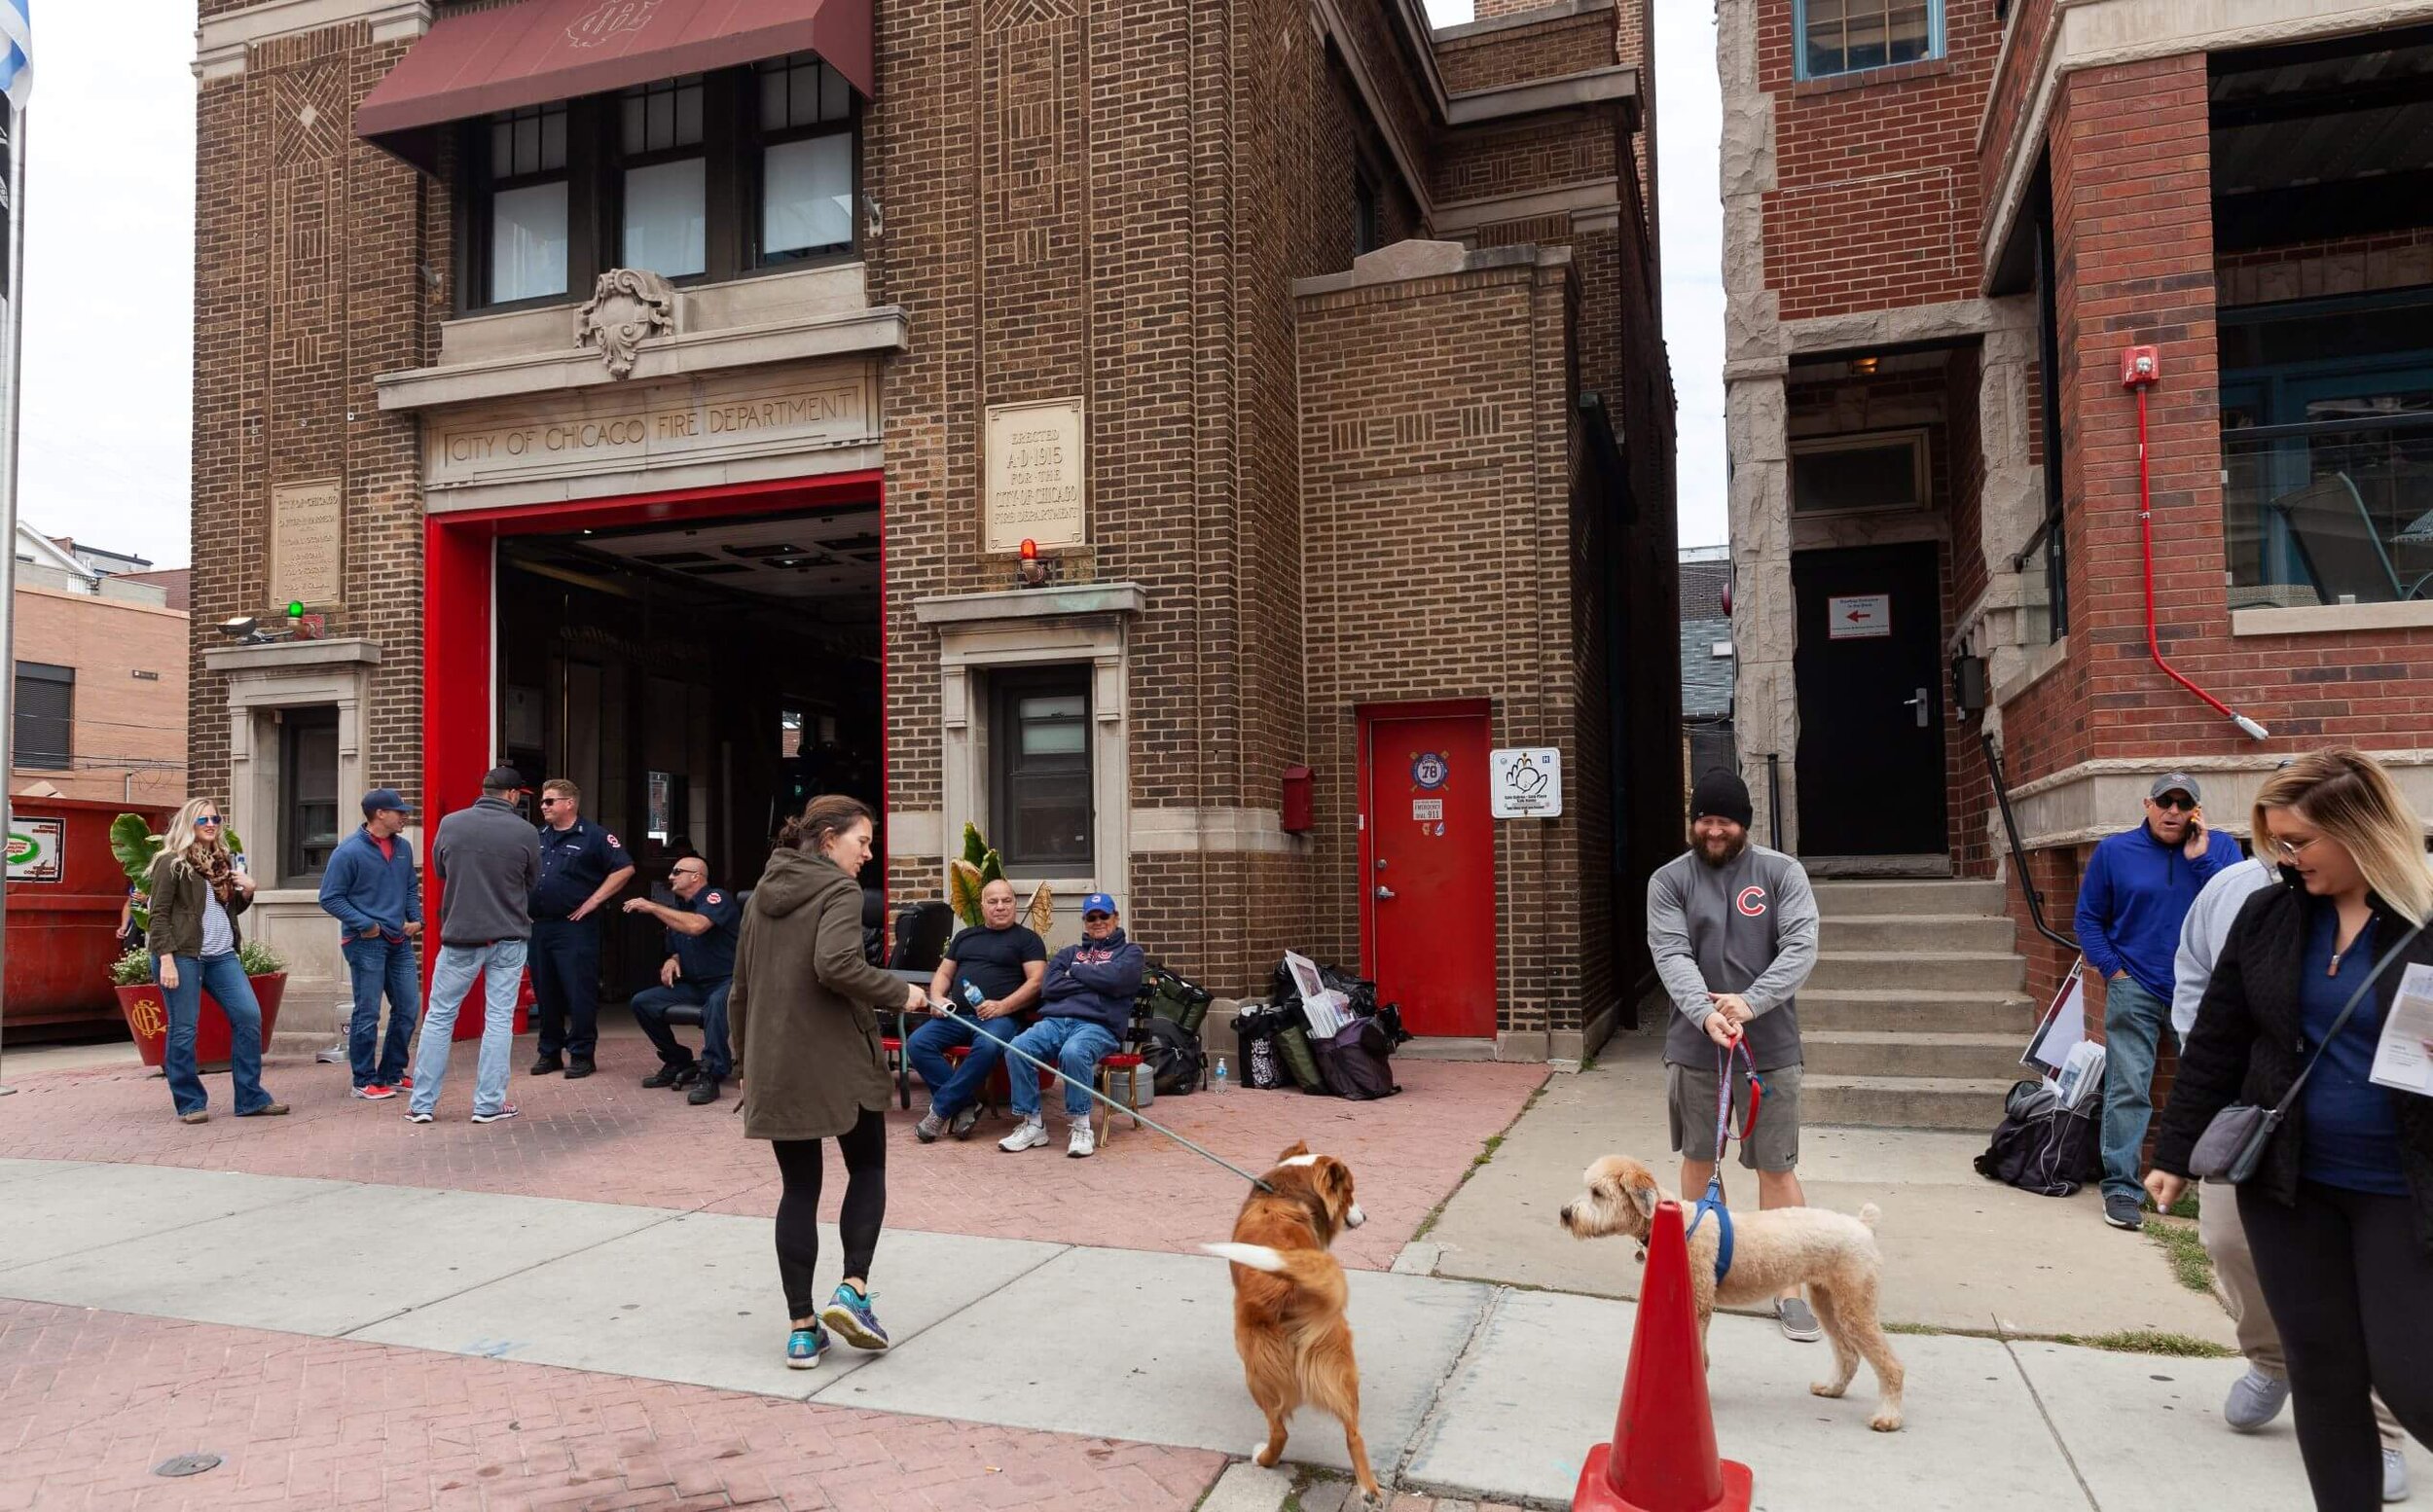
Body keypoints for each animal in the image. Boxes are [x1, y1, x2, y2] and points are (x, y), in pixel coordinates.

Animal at [1202, 1147, 1382, 1507]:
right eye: (1350, 1192)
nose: (1365, 1216)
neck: (1285, 1190)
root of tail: (1292, 1289)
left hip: (1255, 1369)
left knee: (1280, 1430)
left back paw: (1262, 1458)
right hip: (1338, 1361)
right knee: (1354, 1434)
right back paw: (1368, 1490)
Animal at [1557, 1162, 1898, 1429]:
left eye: (1597, 1193)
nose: (1564, 1212)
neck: (1677, 1223)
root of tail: (1863, 1225)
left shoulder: (1700, 1304)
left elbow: (1699, 1353)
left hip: (1856, 1305)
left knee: (1890, 1364)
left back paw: (1888, 1416)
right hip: (1828, 1302)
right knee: (1848, 1354)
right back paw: (1831, 1388)